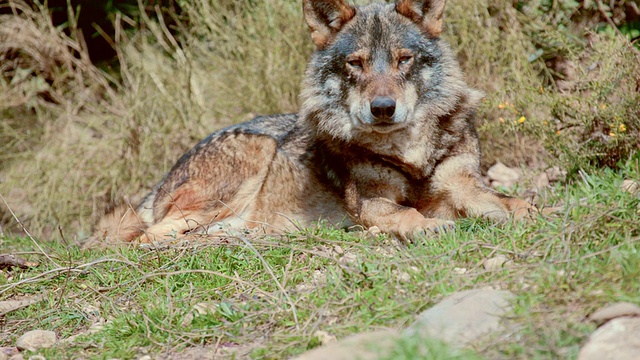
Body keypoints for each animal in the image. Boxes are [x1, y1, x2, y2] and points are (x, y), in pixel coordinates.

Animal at [90, 0, 536, 246]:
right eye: (355, 64)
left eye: (403, 60)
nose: (383, 108)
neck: (410, 157)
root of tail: (159, 182)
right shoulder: (372, 202)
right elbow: (407, 215)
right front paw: (426, 227)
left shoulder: (463, 183)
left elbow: (503, 202)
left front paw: (528, 211)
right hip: (252, 157)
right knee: (144, 236)